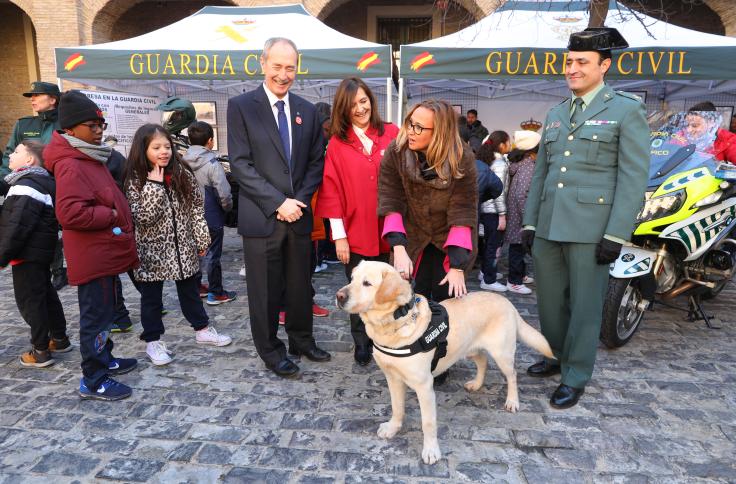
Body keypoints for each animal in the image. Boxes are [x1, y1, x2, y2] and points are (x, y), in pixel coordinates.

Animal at [334, 260, 552, 466]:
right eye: (351, 279)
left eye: (367, 283)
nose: (339, 296)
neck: (394, 323)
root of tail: (508, 303)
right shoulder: (392, 378)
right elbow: (397, 407)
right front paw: (392, 428)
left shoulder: (424, 386)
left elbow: (428, 423)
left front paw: (431, 451)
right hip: (469, 349)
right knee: (483, 361)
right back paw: (476, 384)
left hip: (502, 354)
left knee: (512, 375)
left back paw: (512, 401)